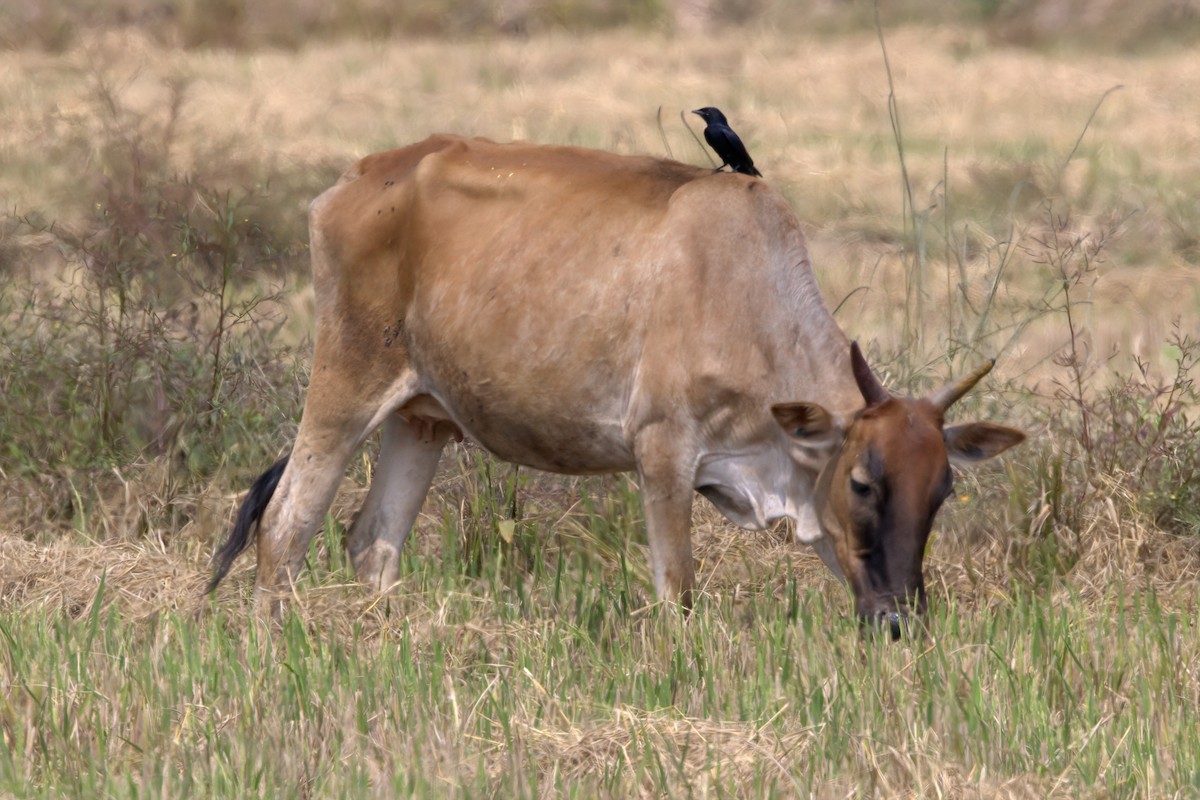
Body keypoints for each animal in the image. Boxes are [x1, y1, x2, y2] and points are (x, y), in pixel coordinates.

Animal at [206, 137, 1022, 638]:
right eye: (862, 482)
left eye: (943, 490)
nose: (901, 622)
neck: (748, 293)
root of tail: (362, 174)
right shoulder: (663, 451)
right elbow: (678, 594)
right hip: (345, 386)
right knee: (286, 524)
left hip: (422, 416)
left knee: (373, 541)